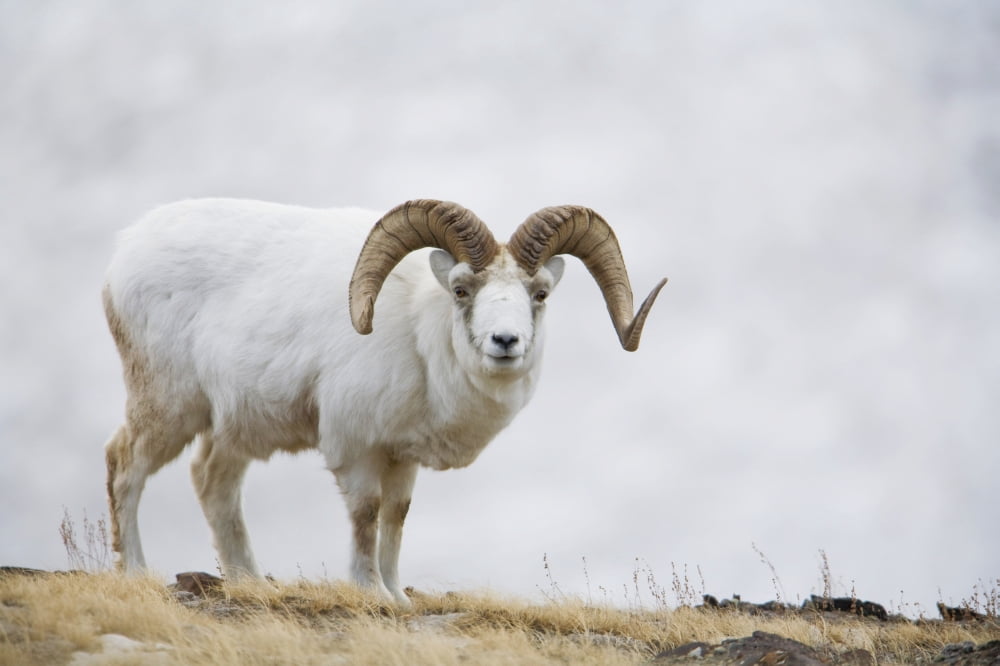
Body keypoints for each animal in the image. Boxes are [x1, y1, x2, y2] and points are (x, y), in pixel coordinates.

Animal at [102, 198, 666, 606]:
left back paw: (252, 584)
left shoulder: (401, 457)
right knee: (124, 467)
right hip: (166, 407)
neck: (422, 339)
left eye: (541, 293)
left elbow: (396, 518)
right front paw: (371, 593)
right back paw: (135, 573)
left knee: (214, 484)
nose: (505, 342)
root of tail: (123, 254)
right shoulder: (355, 449)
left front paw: (397, 596)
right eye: (462, 290)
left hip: (234, 428)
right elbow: (366, 515)